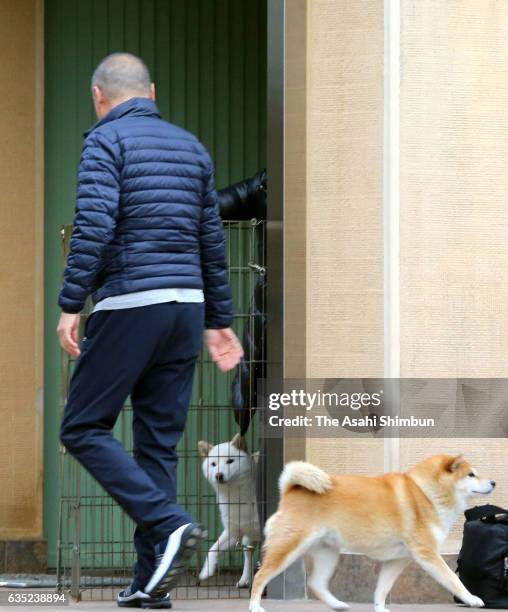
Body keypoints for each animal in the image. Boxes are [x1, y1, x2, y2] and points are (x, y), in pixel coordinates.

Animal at [198, 436, 262, 588]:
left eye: (230, 461)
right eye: (213, 464)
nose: (218, 475)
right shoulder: (233, 532)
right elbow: (212, 549)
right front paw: (206, 571)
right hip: (247, 537)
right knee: (248, 555)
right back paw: (245, 580)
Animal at [250, 454, 496, 612]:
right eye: (471, 475)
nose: (493, 482)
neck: (425, 493)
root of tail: (289, 490)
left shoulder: (398, 560)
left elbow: (382, 589)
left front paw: (379, 608)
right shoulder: (428, 554)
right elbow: (454, 581)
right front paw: (472, 599)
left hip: (327, 553)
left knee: (316, 584)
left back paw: (338, 605)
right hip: (287, 549)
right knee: (260, 576)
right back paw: (254, 606)